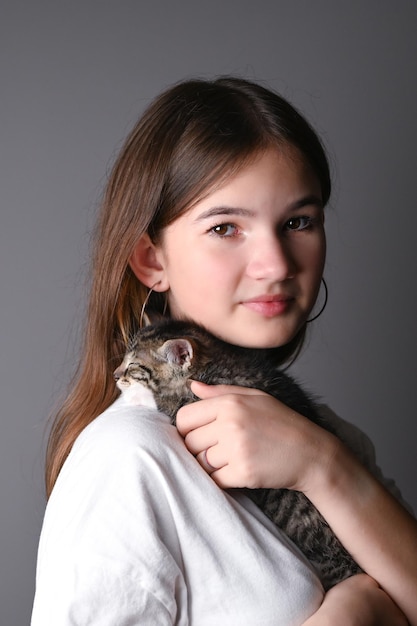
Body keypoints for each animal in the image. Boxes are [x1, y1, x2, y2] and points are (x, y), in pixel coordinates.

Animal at [114, 320, 360, 588]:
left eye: (133, 365)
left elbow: (163, 402)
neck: (214, 364)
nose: (115, 375)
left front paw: (136, 396)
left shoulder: (188, 405)